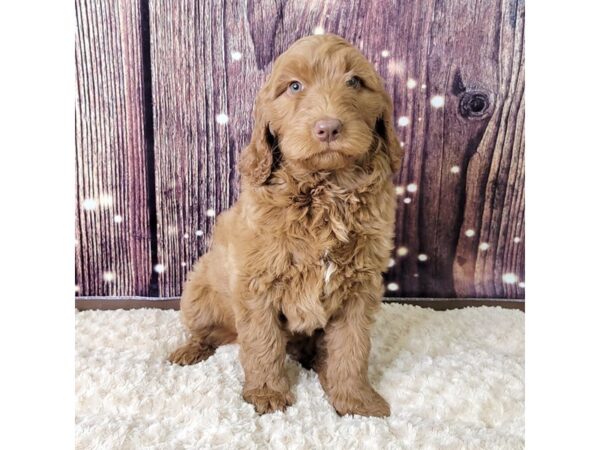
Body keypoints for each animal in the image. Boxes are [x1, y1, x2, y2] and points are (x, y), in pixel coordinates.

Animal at [169, 33, 404, 416]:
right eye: (294, 86)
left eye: (355, 82)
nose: (328, 127)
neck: (325, 192)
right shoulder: (257, 284)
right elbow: (262, 342)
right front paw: (267, 393)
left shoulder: (360, 286)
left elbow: (352, 346)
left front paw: (355, 399)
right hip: (198, 293)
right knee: (208, 332)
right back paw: (190, 350)